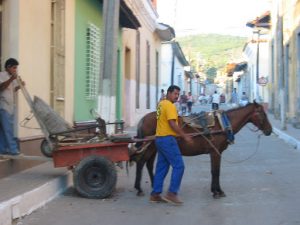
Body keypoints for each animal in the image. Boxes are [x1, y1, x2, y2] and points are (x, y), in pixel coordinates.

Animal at [130, 102, 274, 199]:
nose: (269, 130)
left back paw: (154, 185)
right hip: (150, 146)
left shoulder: (216, 152)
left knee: (148, 164)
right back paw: (139, 188)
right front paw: (217, 192)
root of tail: (143, 118)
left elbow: (216, 171)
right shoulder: (215, 152)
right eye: (262, 114)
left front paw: (216, 190)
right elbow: (215, 172)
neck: (223, 124)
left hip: (154, 148)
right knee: (141, 162)